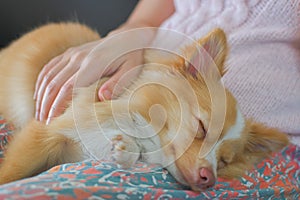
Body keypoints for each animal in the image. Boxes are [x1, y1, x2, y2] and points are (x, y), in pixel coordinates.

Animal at [0, 22, 288, 191]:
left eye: (224, 161)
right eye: (202, 128)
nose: (210, 178)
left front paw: (125, 149)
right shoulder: (45, 133)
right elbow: (13, 172)